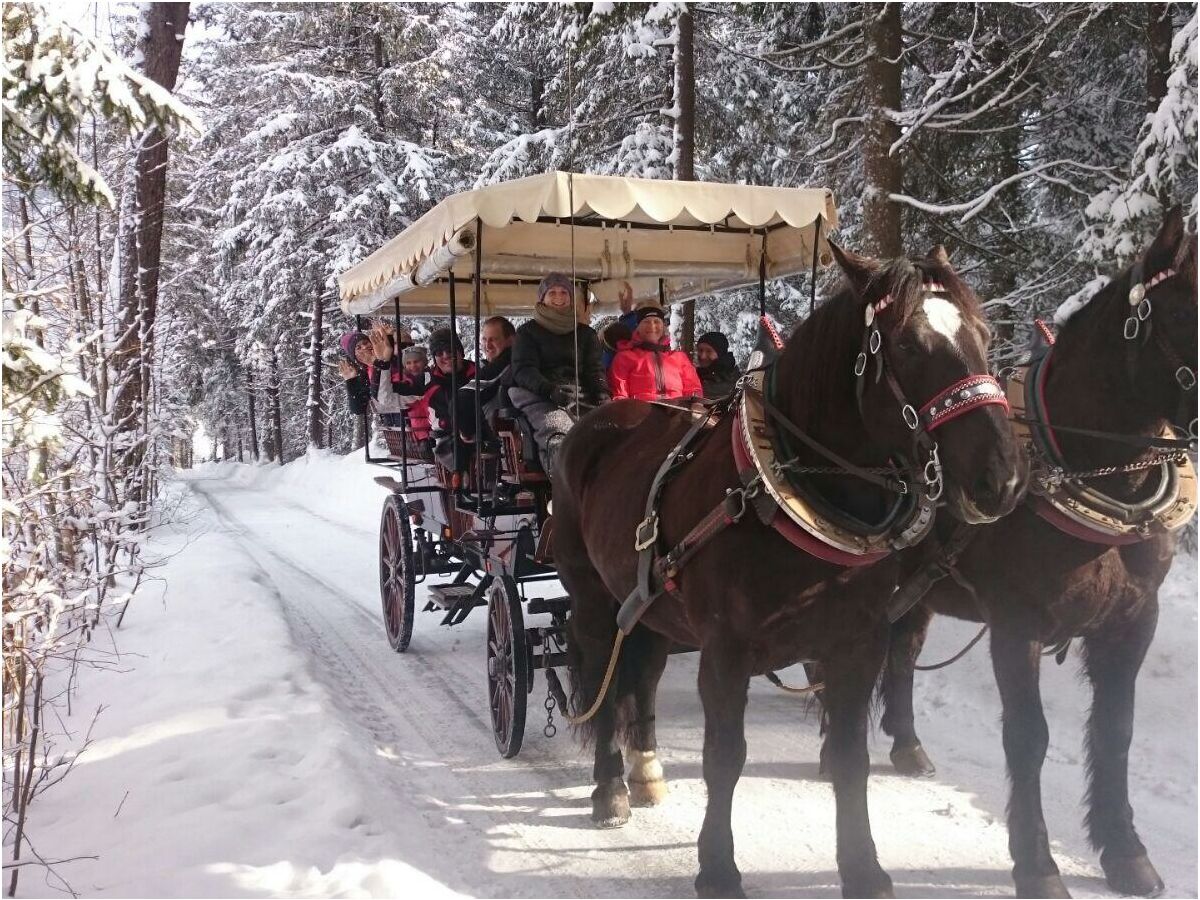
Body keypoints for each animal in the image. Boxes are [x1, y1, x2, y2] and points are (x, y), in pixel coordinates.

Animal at [549, 243, 1022, 897]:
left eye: (984, 334)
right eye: (906, 346)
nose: (999, 479)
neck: (786, 492)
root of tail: (591, 426)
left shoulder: (856, 644)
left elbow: (849, 757)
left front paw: (863, 868)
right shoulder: (726, 651)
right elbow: (725, 756)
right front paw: (718, 867)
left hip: (648, 604)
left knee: (641, 676)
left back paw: (645, 771)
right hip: (594, 599)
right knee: (604, 677)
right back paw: (609, 787)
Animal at [878, 213, 1195, 900]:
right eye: (1185, 312)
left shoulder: (1134, 620)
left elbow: (1116, 729)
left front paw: (1125, 852)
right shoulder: (1016, 623)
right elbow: (1028, 737)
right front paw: (1037, 863)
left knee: (904, 650)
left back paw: (907, 742)